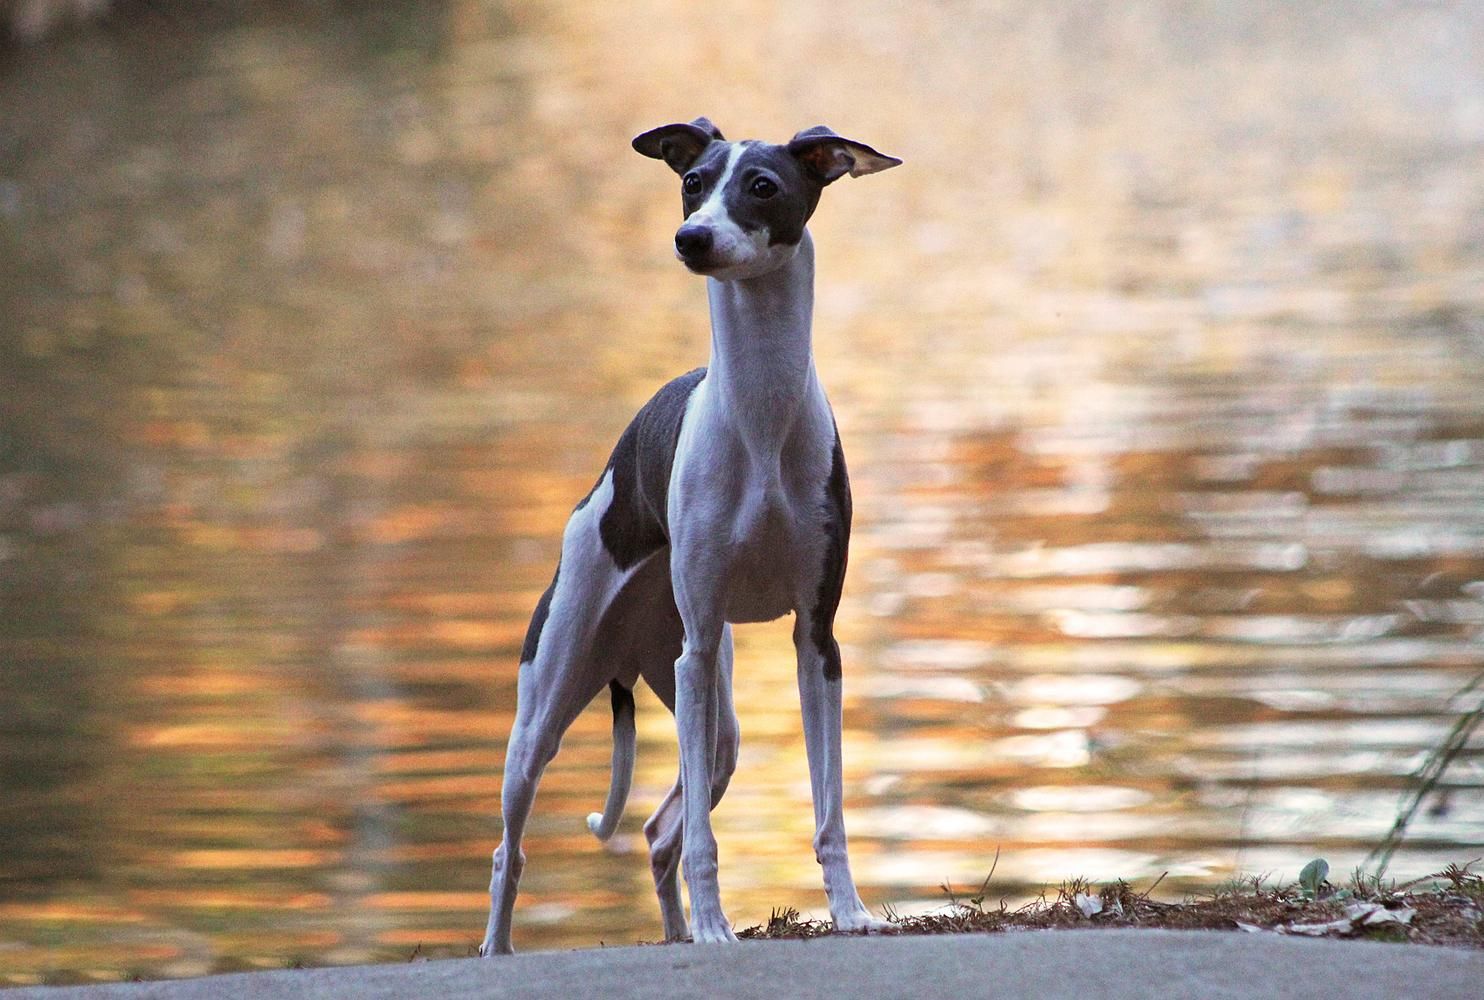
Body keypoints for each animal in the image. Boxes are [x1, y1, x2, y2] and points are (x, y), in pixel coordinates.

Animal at [483, 117, 902, 949]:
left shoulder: (817, 640)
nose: (691, 238)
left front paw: (849, 911)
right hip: (554, 705)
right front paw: (715, 927)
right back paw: (497, 947)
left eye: (763, 186)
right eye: (692, 182)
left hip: (714, 725)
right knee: (510, 850)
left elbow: (829, 808)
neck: (760, 413)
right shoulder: (700, 644)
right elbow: (708, 840)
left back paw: (676, 929)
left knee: (656, 831)